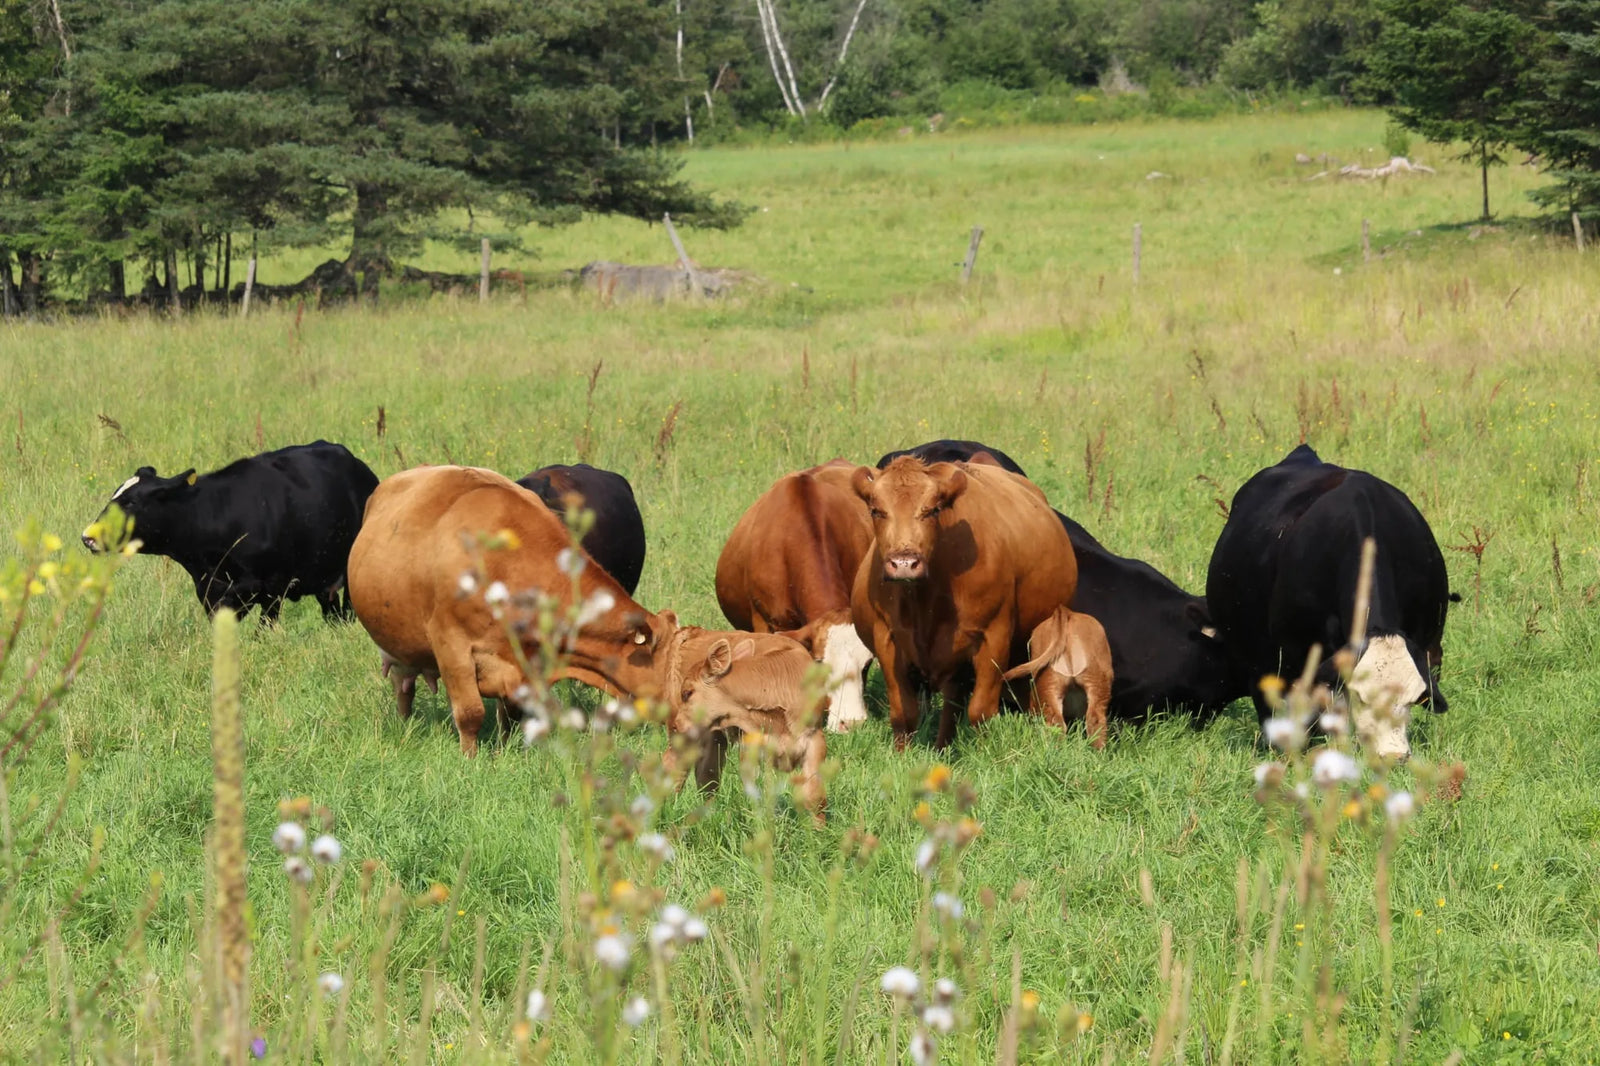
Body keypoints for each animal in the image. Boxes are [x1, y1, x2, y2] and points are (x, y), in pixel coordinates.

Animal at [851, 457, 1078, 749]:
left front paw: (985, 754)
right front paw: (901, 754)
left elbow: (980, 711)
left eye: (932, 510)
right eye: (876, 511)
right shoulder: (887, 640)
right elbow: (904, 712)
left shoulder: (993, 639)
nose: (904, 563)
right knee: (951, 704)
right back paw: (942, 749)